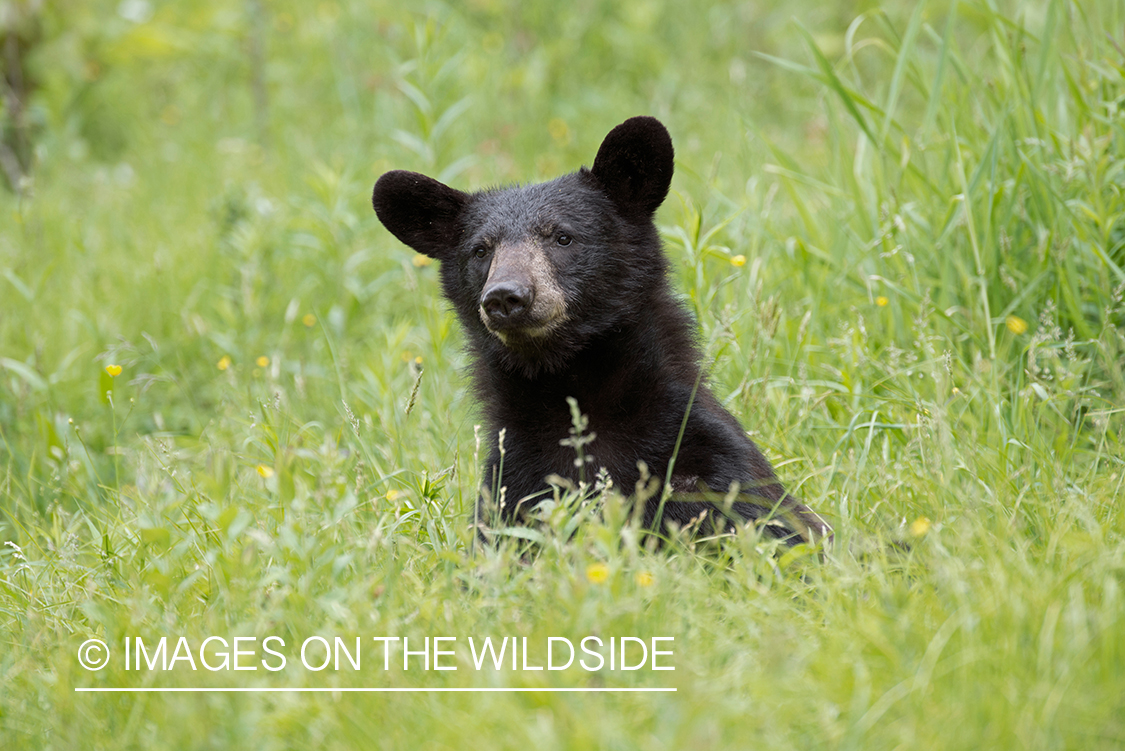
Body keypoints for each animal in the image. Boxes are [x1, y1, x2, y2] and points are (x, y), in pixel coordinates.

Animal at [371, 116, 831, 545]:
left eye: (562, 237)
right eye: (481, 251)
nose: (505, 296)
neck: (574, 390)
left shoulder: (706, 462)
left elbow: (762, 524)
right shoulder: (513, 483)